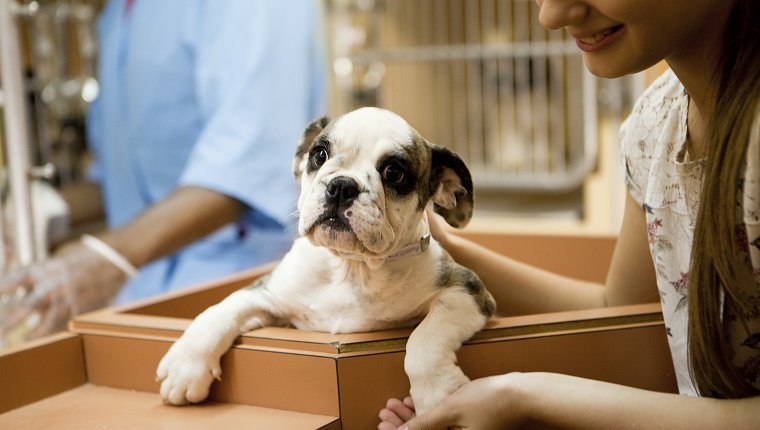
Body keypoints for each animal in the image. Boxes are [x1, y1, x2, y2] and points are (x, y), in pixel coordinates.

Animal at [157, 106, 496, 414]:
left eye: (394, 172)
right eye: (319, 155)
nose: (342, 185)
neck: (350, 266)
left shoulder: (466, 292)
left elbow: (424, 339)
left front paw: (440, 393)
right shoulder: (269, 294)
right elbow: (220, 310)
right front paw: (185, 365)